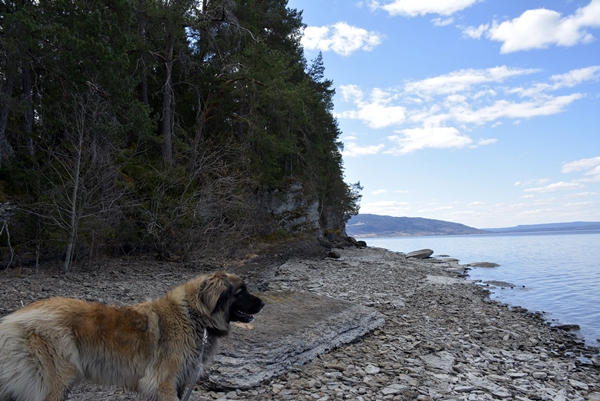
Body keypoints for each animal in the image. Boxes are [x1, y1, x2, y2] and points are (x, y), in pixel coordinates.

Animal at [0, 270, 264, 398]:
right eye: (241, 291)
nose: (262, 303)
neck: (195, 315)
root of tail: (15, 316)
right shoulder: (163, 383)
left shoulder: (178, 382)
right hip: (55, 381)